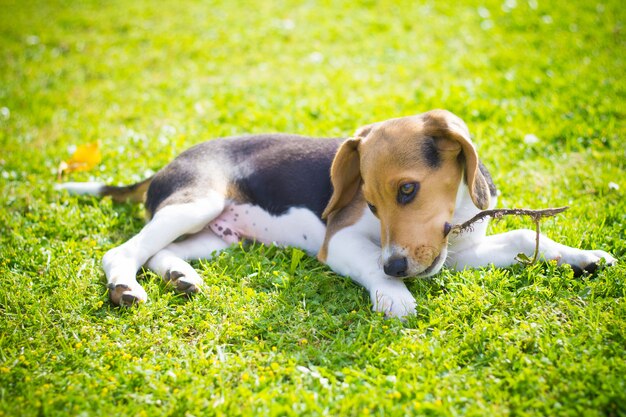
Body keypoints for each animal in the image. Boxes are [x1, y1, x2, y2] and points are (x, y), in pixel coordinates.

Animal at [57, 109, 616, 316]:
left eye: (408, 190)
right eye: (368, 202)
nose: (398, 269)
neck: (457, 218)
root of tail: (166, 166)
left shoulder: (450, 253)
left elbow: (523, 238)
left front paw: (584, 257)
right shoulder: (340, 240)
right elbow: (369, 262)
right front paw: (393, 295)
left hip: (218, 237)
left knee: (159, 252)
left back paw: (180, 276)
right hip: (199, 201)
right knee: (121, 252)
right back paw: (125, 287)